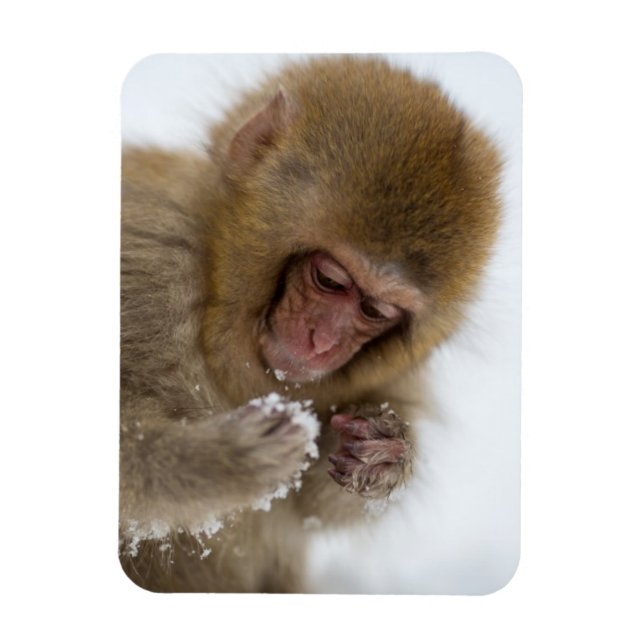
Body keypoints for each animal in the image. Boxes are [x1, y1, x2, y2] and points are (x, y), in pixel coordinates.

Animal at [120, 55, 502, 593]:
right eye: (329, 279)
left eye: (375, 312)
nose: (321, 343)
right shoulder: (150, 253)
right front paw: (222, 462)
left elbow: (310, 509)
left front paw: (383, 454)